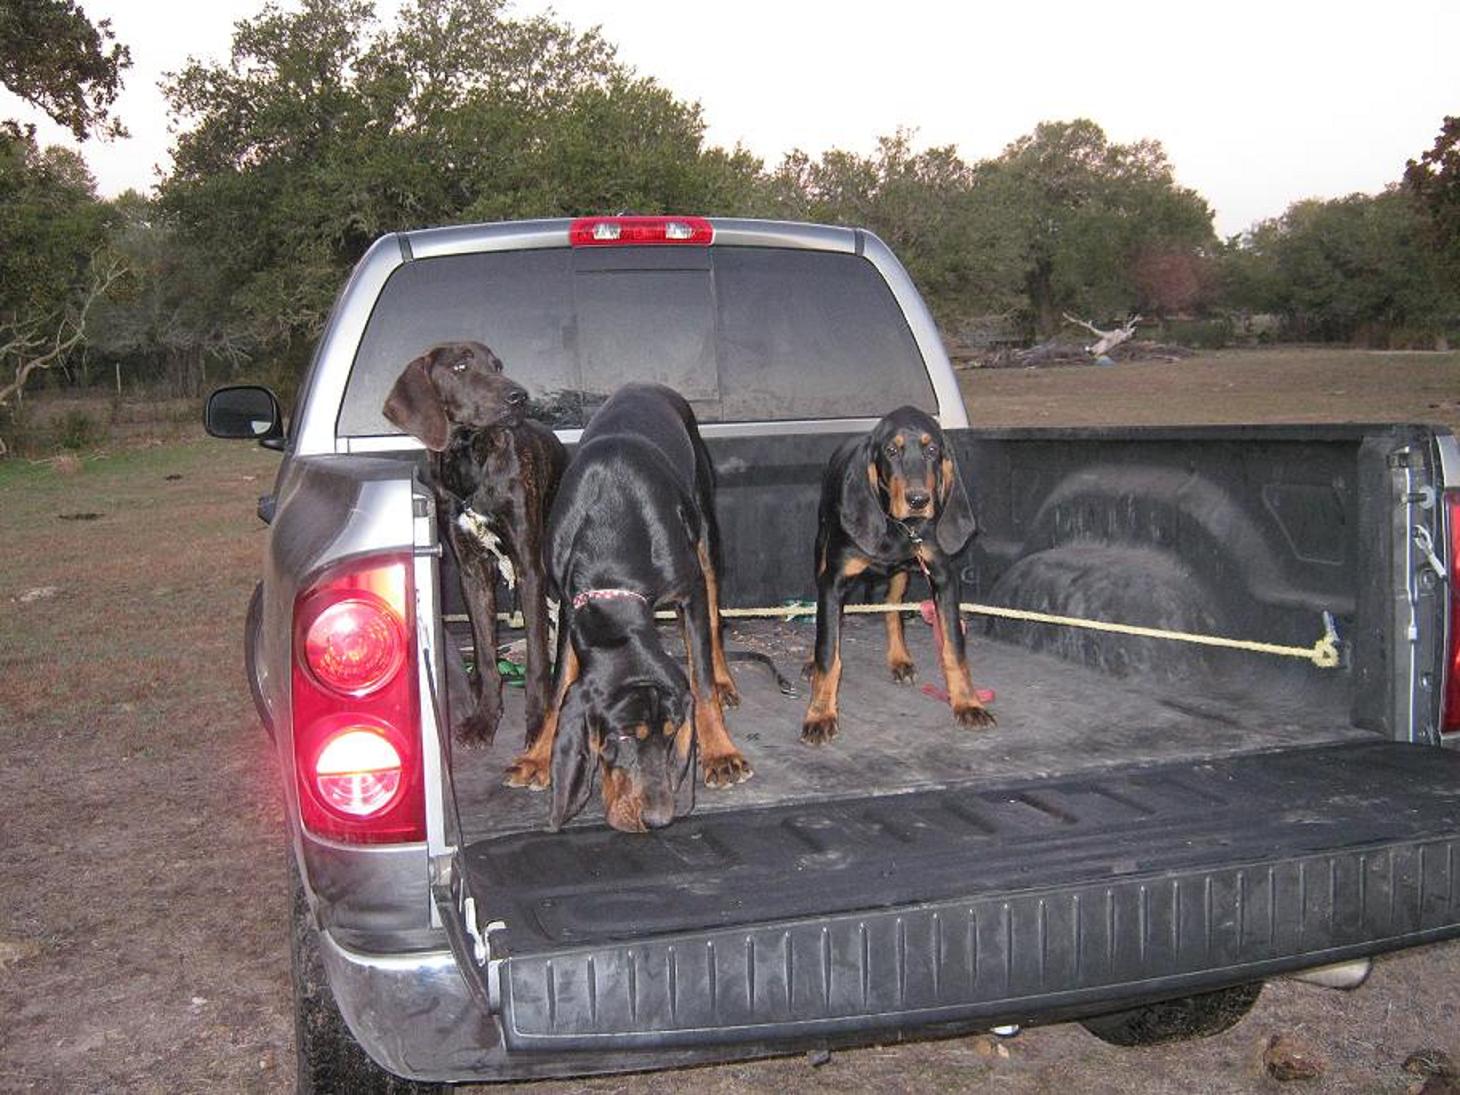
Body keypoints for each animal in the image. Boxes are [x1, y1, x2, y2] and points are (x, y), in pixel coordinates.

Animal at [382, 341, 567, 747]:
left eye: (497, 366)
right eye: (460, 367)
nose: (519, 397)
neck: (468, 459)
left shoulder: (529, 568)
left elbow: (536, 658)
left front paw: (538, 722)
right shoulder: (472, 571)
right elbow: (484, 651)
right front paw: (485, 717)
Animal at [502, 383, 750, 833]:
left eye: (671, 733)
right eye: (621, 735)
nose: (658, 818)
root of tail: (649, 386)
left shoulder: (688, 592)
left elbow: (701, 680)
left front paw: (721, 753)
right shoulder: (569, 607)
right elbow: (558, 688)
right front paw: (536, 757)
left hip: (706, 533)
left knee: (715, 613)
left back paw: (725, 682)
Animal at [801, 405, 994, 744]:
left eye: (932, 450)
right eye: (891, 451)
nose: (919, 500)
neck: (900, 527)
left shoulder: (944, 578)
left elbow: (954, 649)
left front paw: (968, 703)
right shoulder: (833, 583)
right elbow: (828, 651)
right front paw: (820, 714)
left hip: (901, 575)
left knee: (892, 609)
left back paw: (900, 659)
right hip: (820, 551)